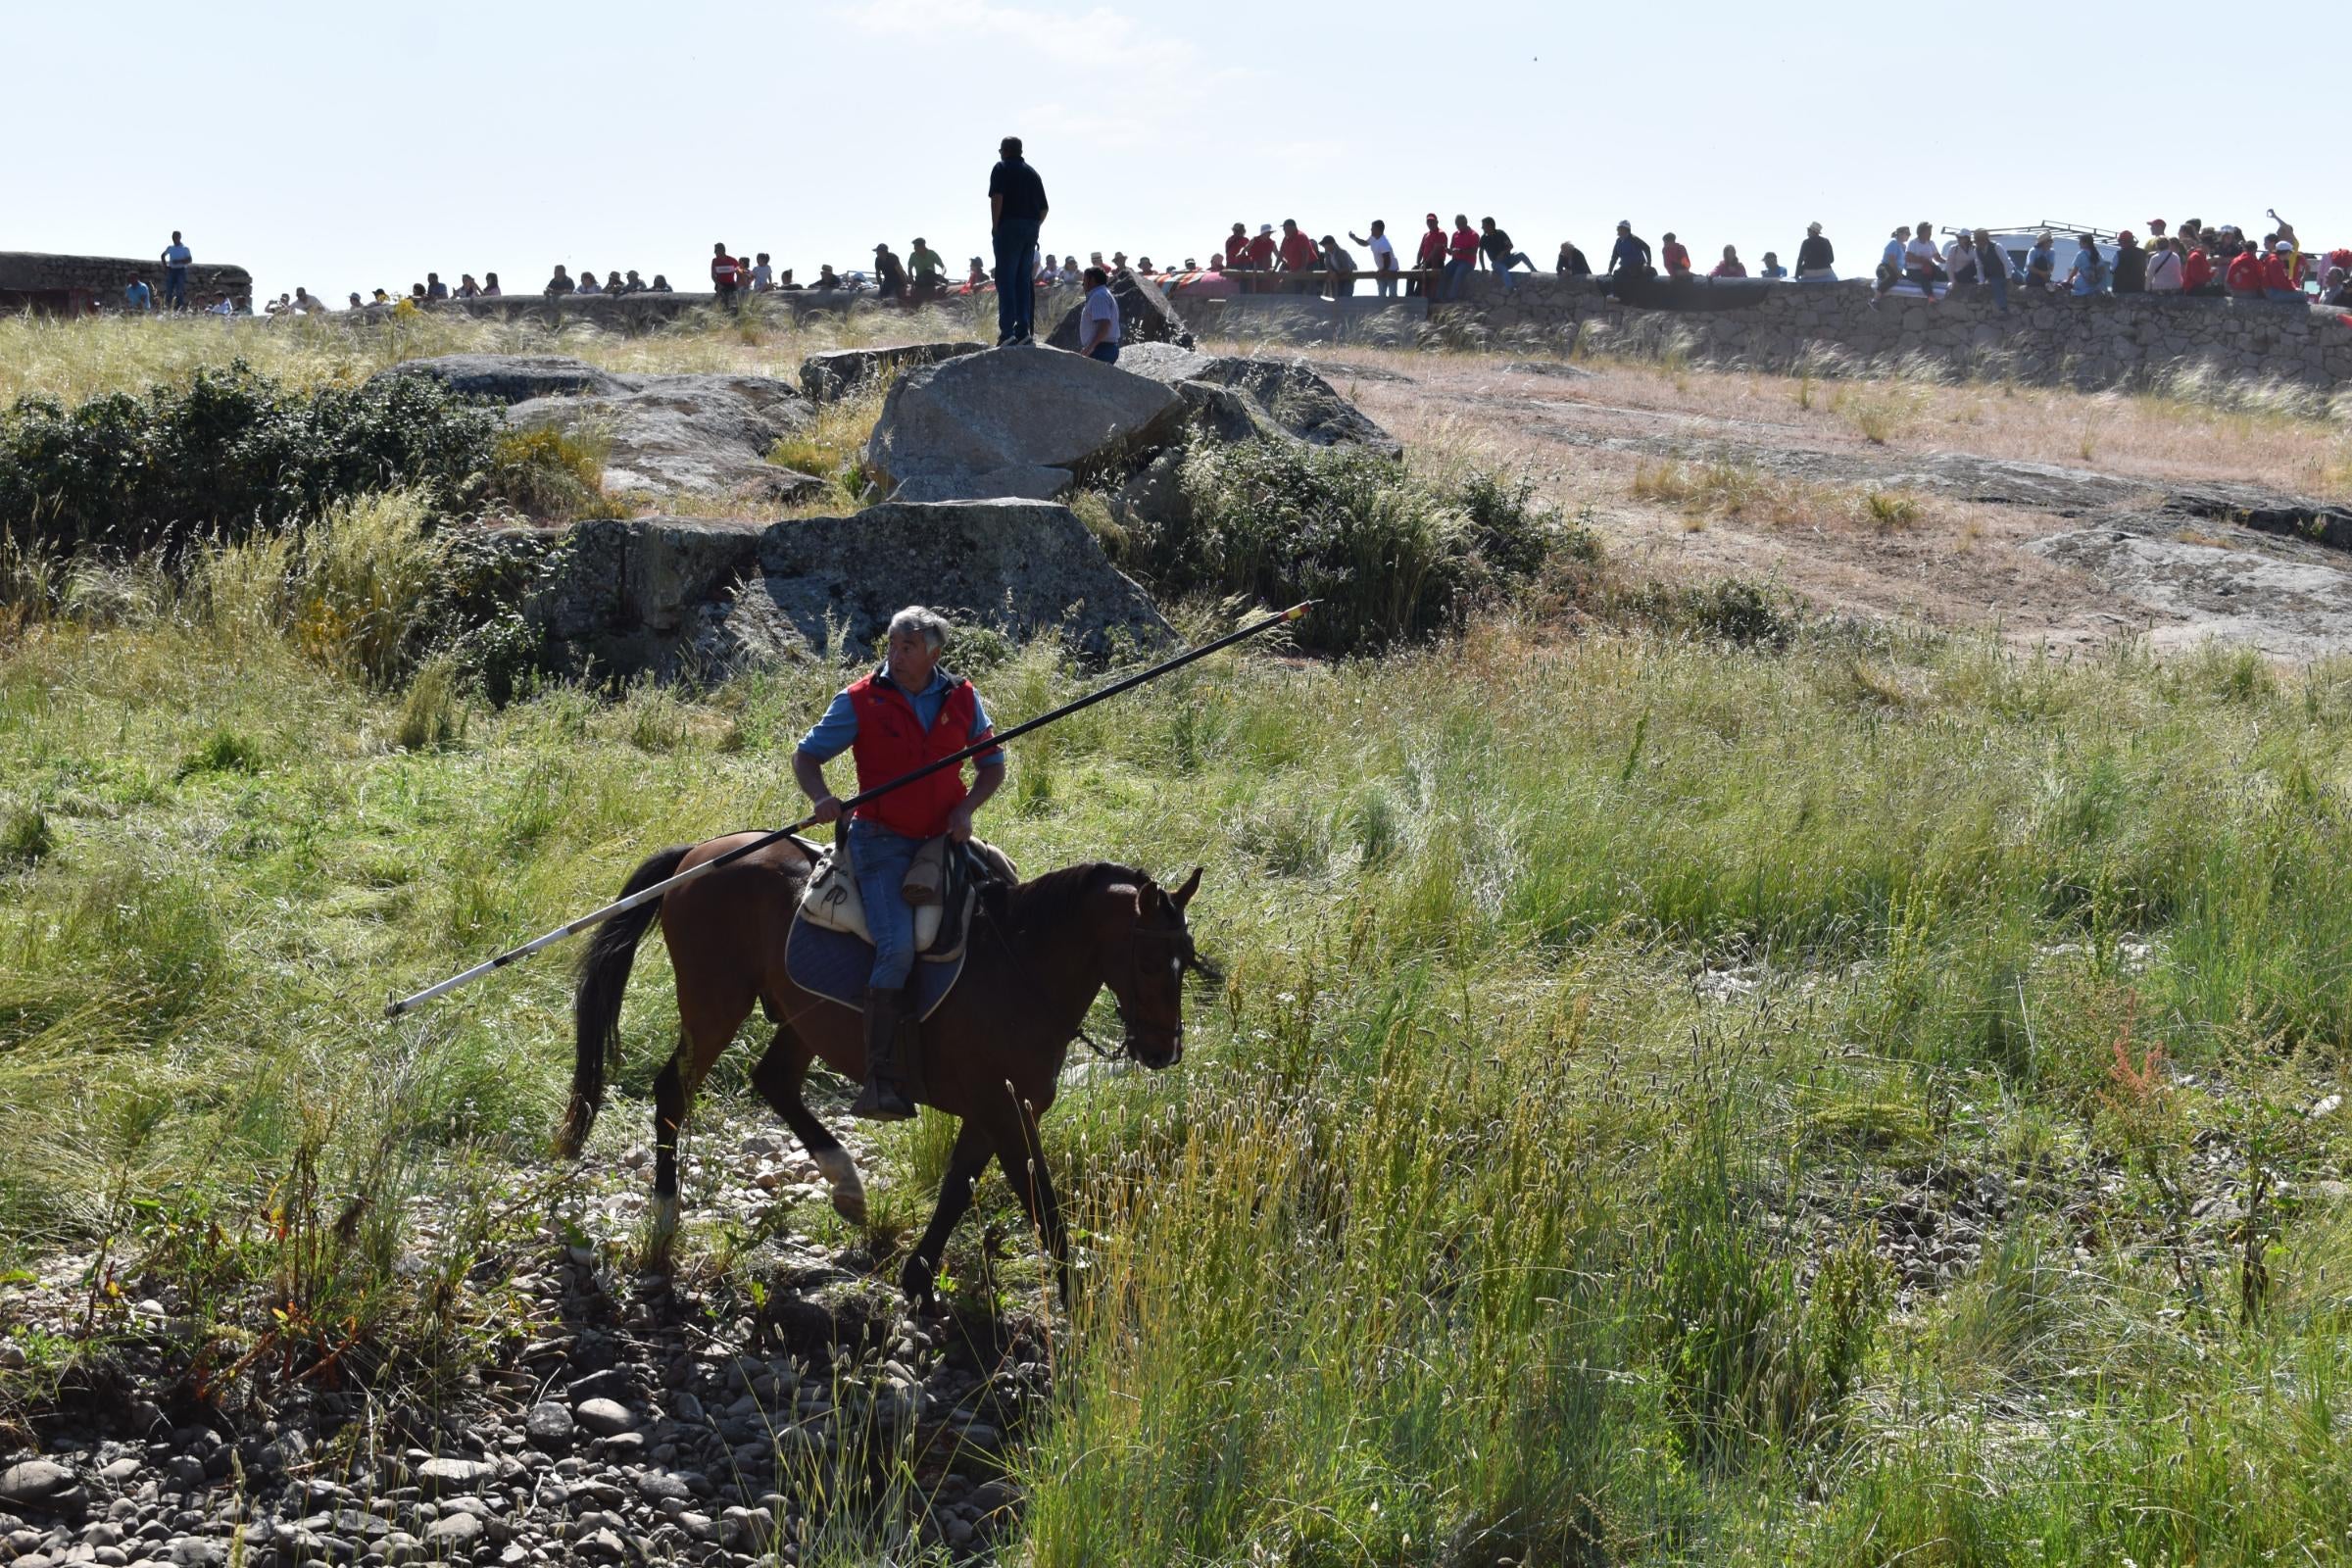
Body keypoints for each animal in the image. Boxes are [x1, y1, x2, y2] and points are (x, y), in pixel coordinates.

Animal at [557, 841, 1203, 1306]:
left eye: (1188, 958)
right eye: (1150, 961)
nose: (1164, 1050)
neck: (1020, 967)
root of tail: (699, 855)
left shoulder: (991, 1113)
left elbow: (958, 1189)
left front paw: (918, 1277)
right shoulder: (1007, 1111)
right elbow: (1041, 1205)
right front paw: (1081, 1300)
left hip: (804, 1015)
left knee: (774, 1081)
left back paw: (844, 1181)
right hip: (716, 1001)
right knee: (674, 1090)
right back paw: (665, 1215)